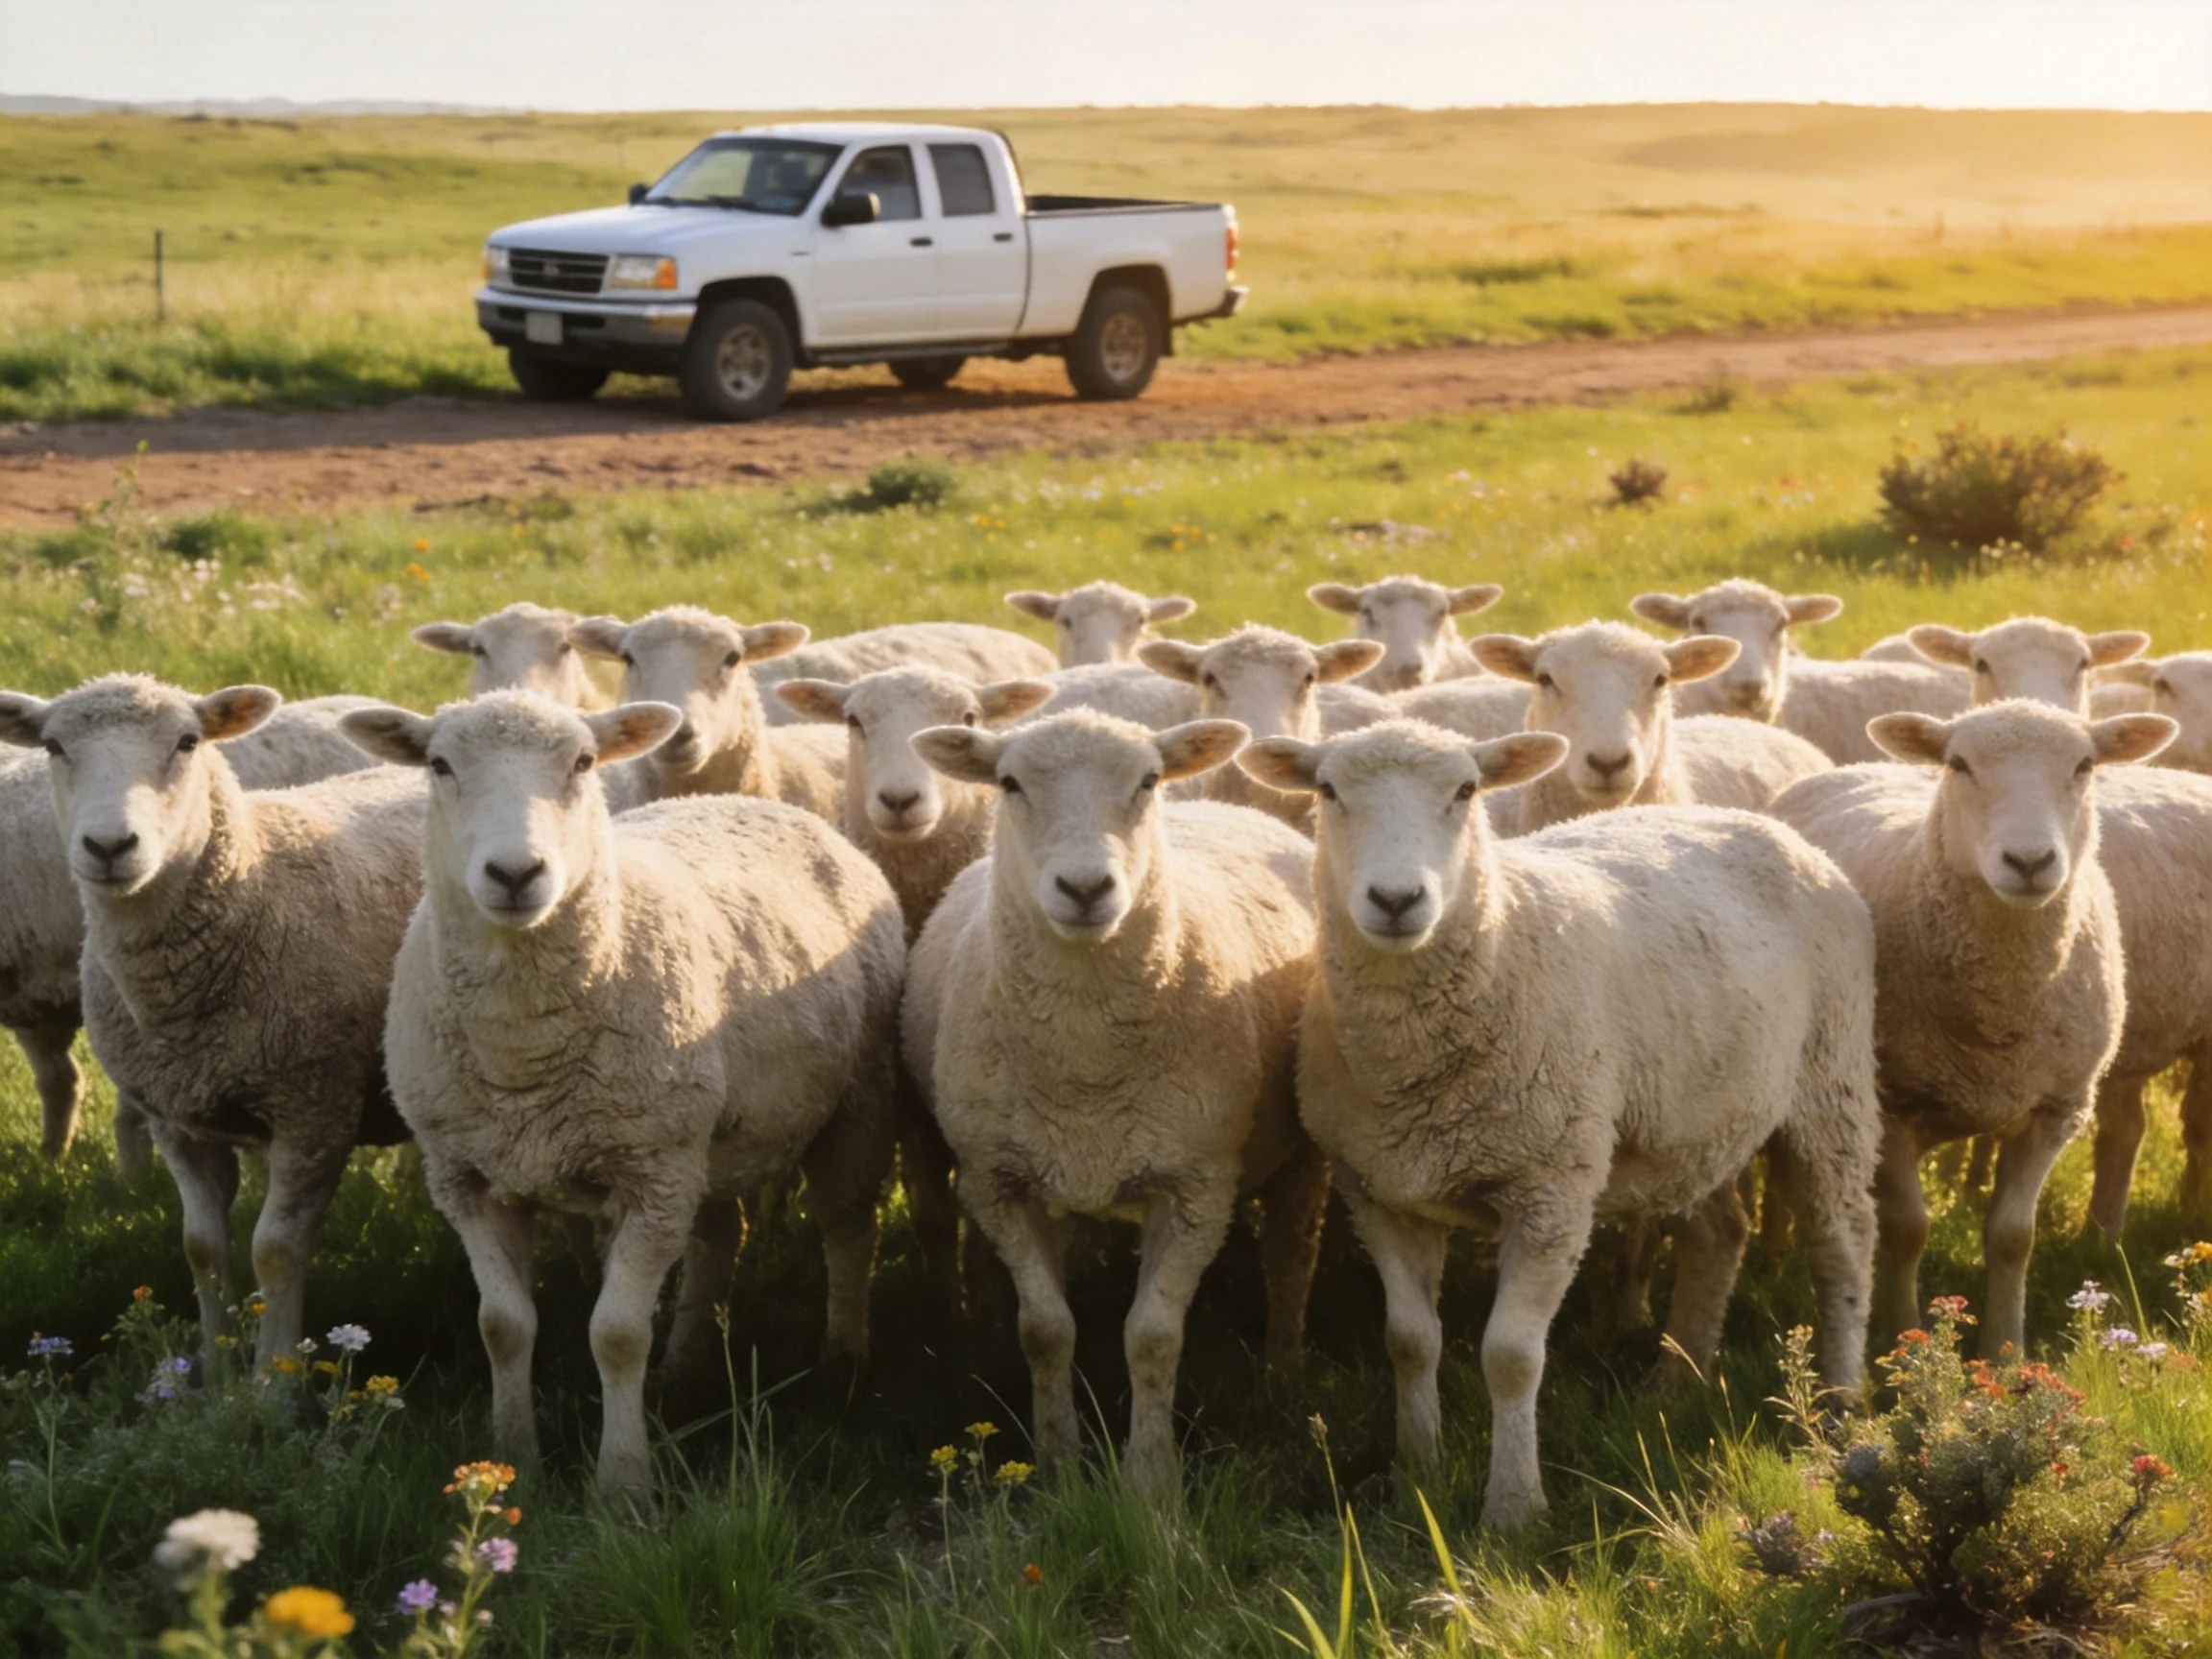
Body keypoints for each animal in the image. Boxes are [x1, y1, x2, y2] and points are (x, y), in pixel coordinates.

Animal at [341, 692, 903, 1495]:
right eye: (440, 765)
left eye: (582, 763)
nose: (516, 873)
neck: (523, 1050)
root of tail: (749, 802)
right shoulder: (467, 1177)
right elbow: (502, 1327)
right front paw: (513, 1456)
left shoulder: (650, 1171)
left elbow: (616, 1335)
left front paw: (624, 1482)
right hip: (706, 1138)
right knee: (719, 1234)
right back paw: (687, 1364)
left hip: (855, 1102)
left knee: (849, 1229)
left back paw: (843, 1362)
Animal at [902, 710, 1330, 1497]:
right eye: (1009, 782)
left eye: (1148, 780)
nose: (1084, 887)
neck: (1087, 1064)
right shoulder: (998, 1181)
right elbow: (1045, 1331)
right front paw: (1057, 1462)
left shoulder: (1197, 1186)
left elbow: (1153, 1336)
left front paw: (1150, 1478)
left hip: (1302, 1152)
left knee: (1291, 1257)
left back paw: (1282, 1374)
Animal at [1238, 721, 1879, 1526]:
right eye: (1327, 791)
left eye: (1466, 791)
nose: (1396, 897)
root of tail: (1768, 826)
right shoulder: (1379, 1189)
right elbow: (1408, 1341)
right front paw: (1416, 1471)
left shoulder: (1551, 1189)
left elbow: (1511, 1357)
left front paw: (1514, 1507)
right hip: (1697, 1116)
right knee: (1720, 1234)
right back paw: (1677, 1380)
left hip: (1832, 1078)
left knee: (1843, 1242)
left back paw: (1841, 1397)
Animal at [1771, 701, 2174, 1355]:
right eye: (1959, 764)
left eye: (2085, 765)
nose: (2030, 862)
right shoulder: (1890, 1100)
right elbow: (1906, 1228)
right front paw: (1904, 1337)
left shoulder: (2056, 1107)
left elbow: (2013, 1236)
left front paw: (2004, 1351)